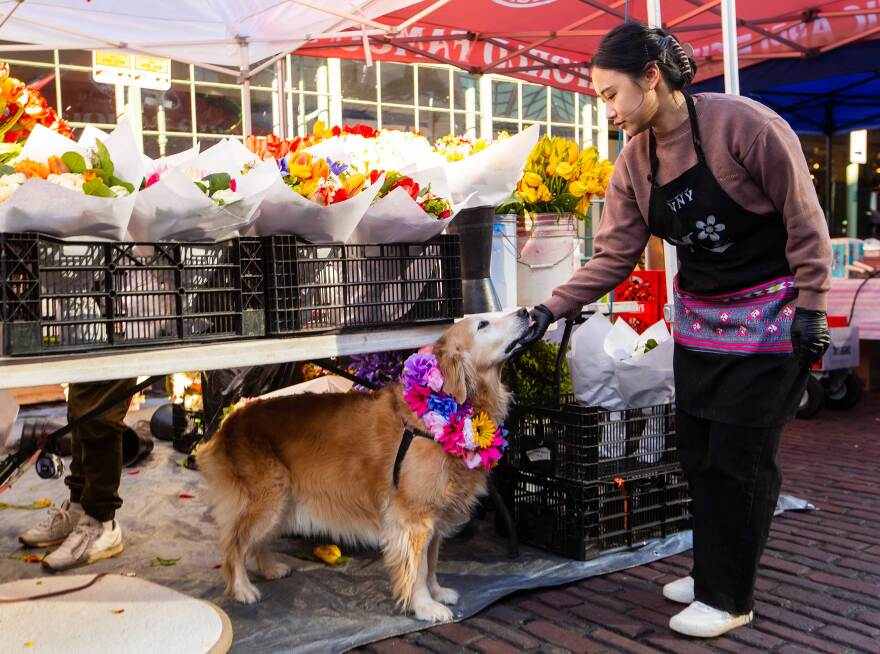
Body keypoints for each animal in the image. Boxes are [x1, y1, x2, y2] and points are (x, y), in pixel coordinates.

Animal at [199, 310, 528, 624]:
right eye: (483, 324)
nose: (526, 312)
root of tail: (230, 421)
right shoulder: (413, 517)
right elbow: (419, 568)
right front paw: (424, 606)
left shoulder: (434, 515)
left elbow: (432, 562)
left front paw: (437, 592)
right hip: (269, 499)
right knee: (234, 544)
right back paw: (241, 588)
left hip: (283, 502)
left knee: (254, 542)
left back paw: (269, 568)